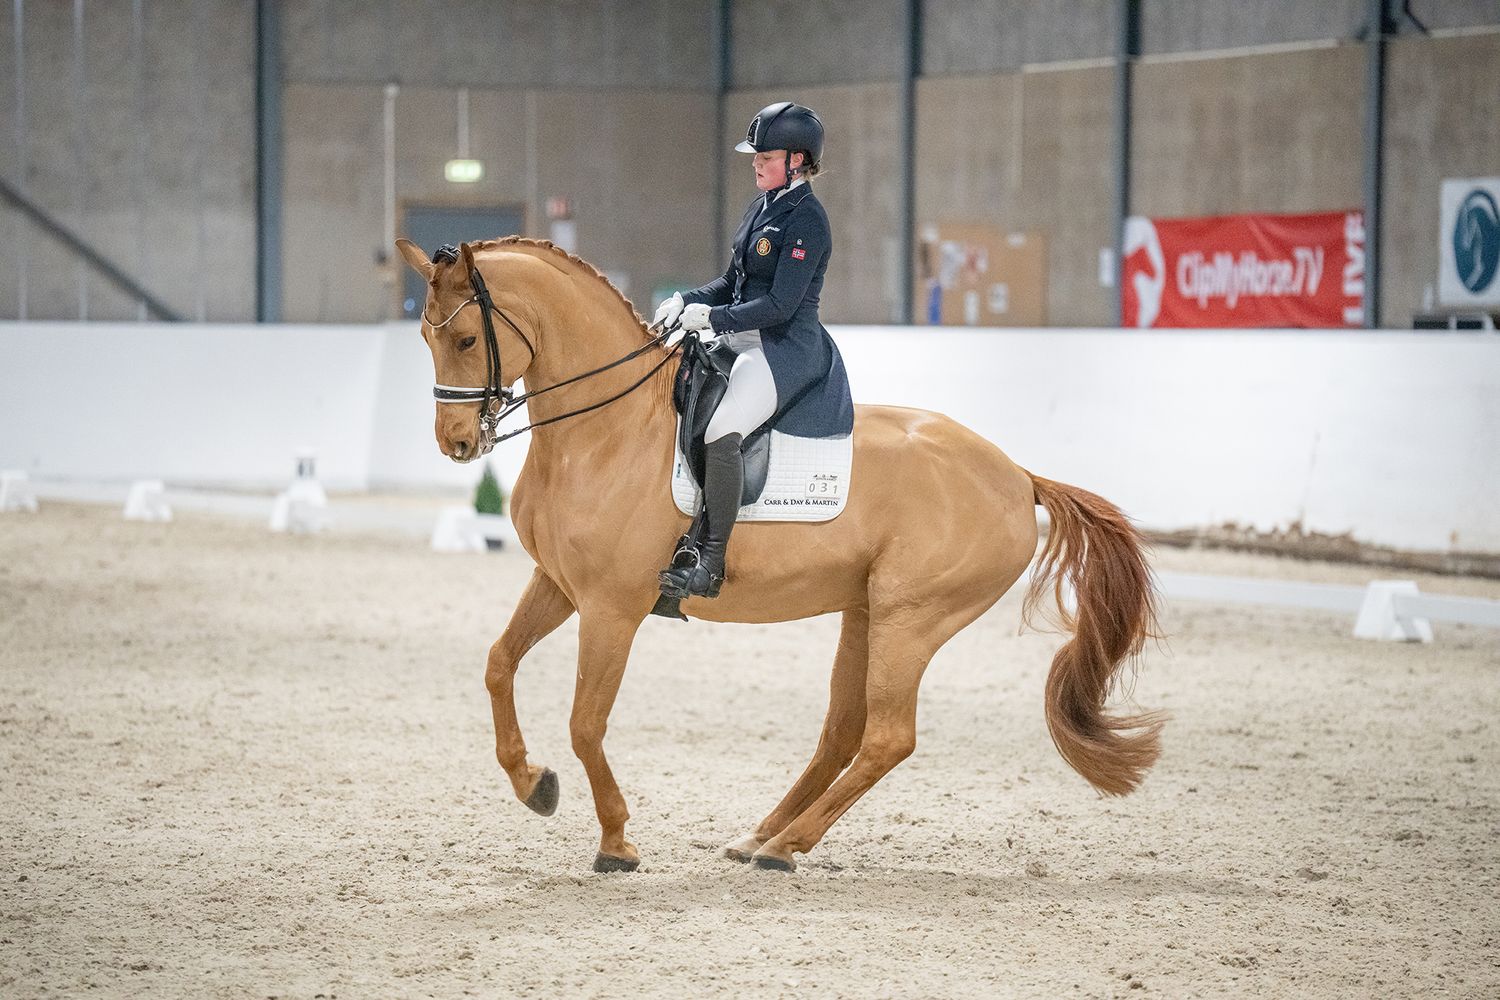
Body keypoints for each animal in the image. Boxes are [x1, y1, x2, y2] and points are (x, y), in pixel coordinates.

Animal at [395, 236, 1165, 873]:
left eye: (466, 336)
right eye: (425, 337)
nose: (456, 443)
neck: (605, 432)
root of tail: (1016, 475)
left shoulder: (613, 607)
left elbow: (586, 722)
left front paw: (615, 840)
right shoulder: (558, 584)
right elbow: (498, 664)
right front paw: (535, 785)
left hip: (911, 619)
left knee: (888, 737)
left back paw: (786, 845)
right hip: (866, 613)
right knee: (842, 733)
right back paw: (761, 835)